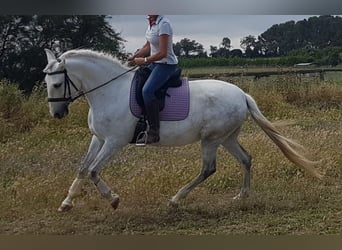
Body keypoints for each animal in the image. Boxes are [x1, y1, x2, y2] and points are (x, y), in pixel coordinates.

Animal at [42, 48, 320, 211]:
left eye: (56, 84)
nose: (57, 114)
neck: (110, 91)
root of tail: (242, 94)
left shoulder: (114, 141)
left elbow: (93, 170)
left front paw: (113, 199)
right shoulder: (98, 138)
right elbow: (82, 168)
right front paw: (66, 202)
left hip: (211, 140)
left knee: (208, 169)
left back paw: (176, 199)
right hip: (227, 138)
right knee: (246, 159)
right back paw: (242, 196)